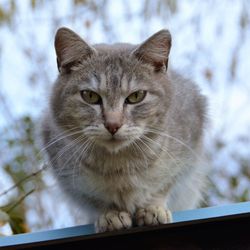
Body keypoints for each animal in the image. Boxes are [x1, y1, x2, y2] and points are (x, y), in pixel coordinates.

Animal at [42, 27, 208, 232]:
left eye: (136, 96)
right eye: (89, 96)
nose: (113, 125)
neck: (119, 165)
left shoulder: (188, 153)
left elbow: (163, 186)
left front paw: (153, 208)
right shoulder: (70, 179)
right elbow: (95, 199)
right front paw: (110, 214)